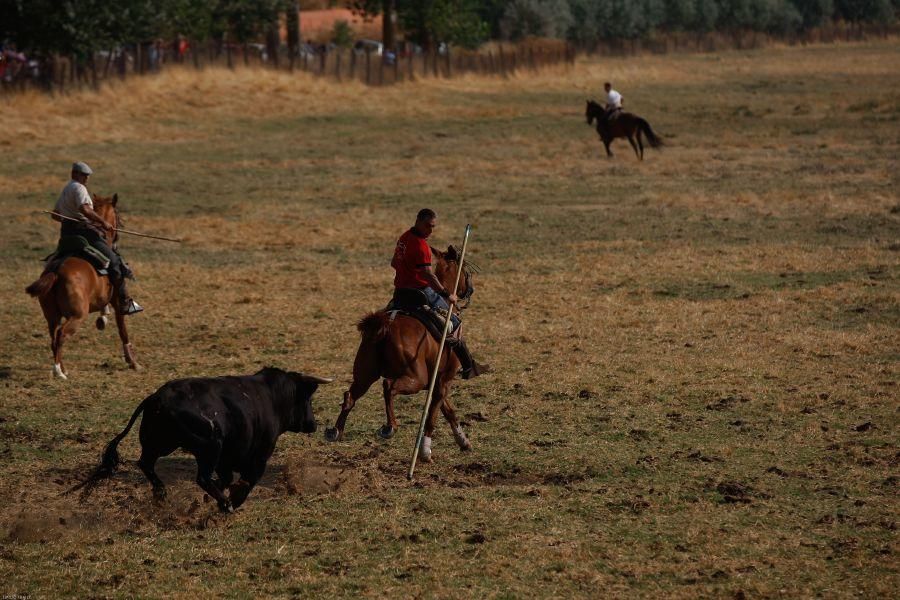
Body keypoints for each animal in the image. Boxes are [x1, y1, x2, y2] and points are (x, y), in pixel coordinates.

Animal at [24, 193, 138, 380]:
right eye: (118, 214)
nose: (119, 230)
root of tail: (56, 270)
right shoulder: (117, 300)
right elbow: (123, 330)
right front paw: (133, 362)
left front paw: (102, 319)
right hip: (77, 315)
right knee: (61, 335)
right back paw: (58, 372)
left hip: (52, 316)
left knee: (53, 338)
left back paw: (63, 369)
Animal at [71, 368, 330, 512]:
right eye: (308, 399)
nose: (313, 423)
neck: (272, 397)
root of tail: (157, 398)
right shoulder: (258, 457)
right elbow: (246, 482)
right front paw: (232, 500)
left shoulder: (226, 459)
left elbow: (226, 478)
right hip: (209, 447)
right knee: (202, 476)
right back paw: (225, 505)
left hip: (161, 444)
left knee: (145, 463)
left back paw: (161, 494)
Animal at [326, 246, 478, 462]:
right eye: (464, 267)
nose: (470, 290)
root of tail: (384, 326)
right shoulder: (443, 381)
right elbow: (433, 416)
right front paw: (425, 452)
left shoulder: (436, 382)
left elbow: (448, 411)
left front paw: (463, 441)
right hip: (416, 378)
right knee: (388, 386)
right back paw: (390, 427)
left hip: (365, 374)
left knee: (350, 396)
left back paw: (335, 431)